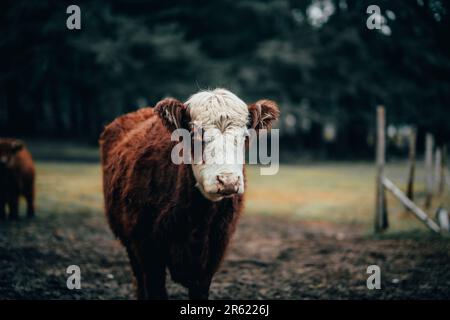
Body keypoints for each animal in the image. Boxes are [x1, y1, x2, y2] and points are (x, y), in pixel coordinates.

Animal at [100, 88, 280, 300]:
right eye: (195, 135)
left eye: (244, 137)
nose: (227, 181)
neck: (196, 221)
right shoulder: (146, 249)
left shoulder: (213, 255)